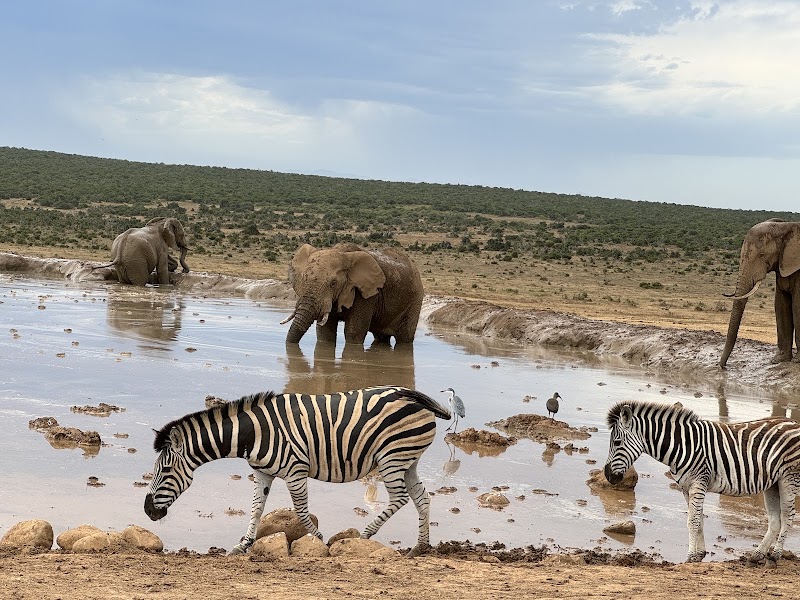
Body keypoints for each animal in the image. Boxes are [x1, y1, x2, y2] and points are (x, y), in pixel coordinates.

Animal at [282, 242, 423, 345]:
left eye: (333, 283)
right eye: (304, 278)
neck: (343, 254)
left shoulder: (366, 293)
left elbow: (353, 332)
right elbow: (325, 332)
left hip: (415, 300)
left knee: (405, 338)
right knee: (381, 337)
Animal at [720, 218, 800, 368]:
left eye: (762, 255)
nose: (722, 366)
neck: (785, 226)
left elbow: (797, 307)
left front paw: (797, 361)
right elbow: (780, 306)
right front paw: (778, 360)